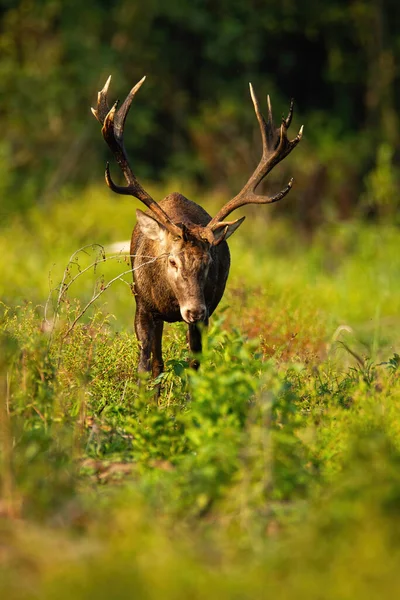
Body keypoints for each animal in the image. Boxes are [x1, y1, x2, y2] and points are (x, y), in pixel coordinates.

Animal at [91, 76, 304, 384]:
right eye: (172, 261)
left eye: (208, 262)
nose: (193, 310)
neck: (170, 301)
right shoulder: (143, 306)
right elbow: (145, 366)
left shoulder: (205, 316)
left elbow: (194, 365)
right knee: (157, 362)